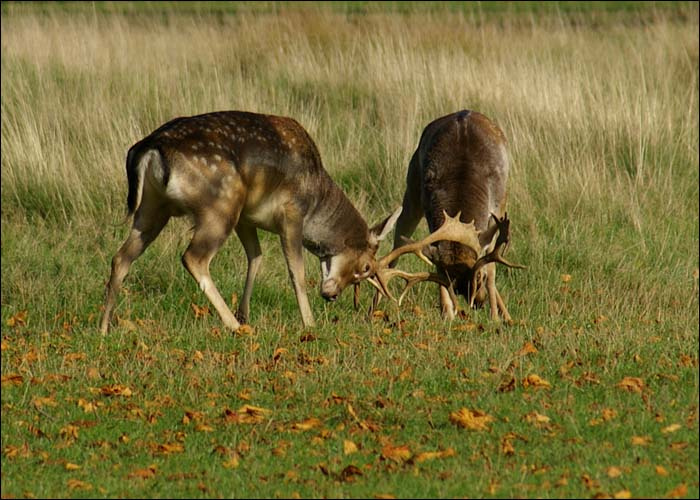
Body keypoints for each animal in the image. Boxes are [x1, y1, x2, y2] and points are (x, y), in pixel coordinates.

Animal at [99, 110, 403, 334]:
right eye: (365, 268)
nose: (332, 295)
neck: (316, 200)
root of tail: (150, 148)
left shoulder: (247, 218)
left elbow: (256, 256)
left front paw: (244, 313)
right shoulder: (291, 213)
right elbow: (296, 272)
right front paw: (309, 323)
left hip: (153, 207)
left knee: (121, 257)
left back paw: (103, 328)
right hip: (220, 204)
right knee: (193, 257)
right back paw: (235, 327)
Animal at [368, 110, 525, 323]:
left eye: (480, 277)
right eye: (451, 283)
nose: (479, 302)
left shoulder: (499, 207)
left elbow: (492, 267)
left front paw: (494, 317)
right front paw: (447, 313)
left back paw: (507, 317)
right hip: (412, 189)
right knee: (396, 245)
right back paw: (373, 307)